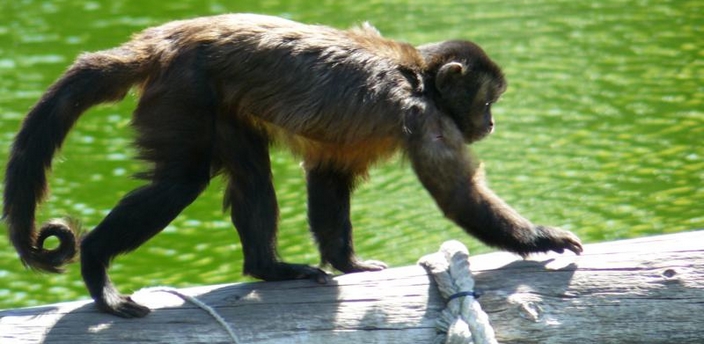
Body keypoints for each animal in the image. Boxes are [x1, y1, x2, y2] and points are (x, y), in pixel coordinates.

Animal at [2, 14, 580, 320]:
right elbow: (457, 194)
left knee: (249, 170)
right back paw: (97, 265)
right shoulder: (425, 116)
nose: (490, 122)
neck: (419, 76)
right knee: (181, 182)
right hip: (185, 90)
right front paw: (541, 239)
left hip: (209, 100)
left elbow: (328, 175)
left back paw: (267, 267)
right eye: (486, 102)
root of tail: (165, 40)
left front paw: (346, 263)